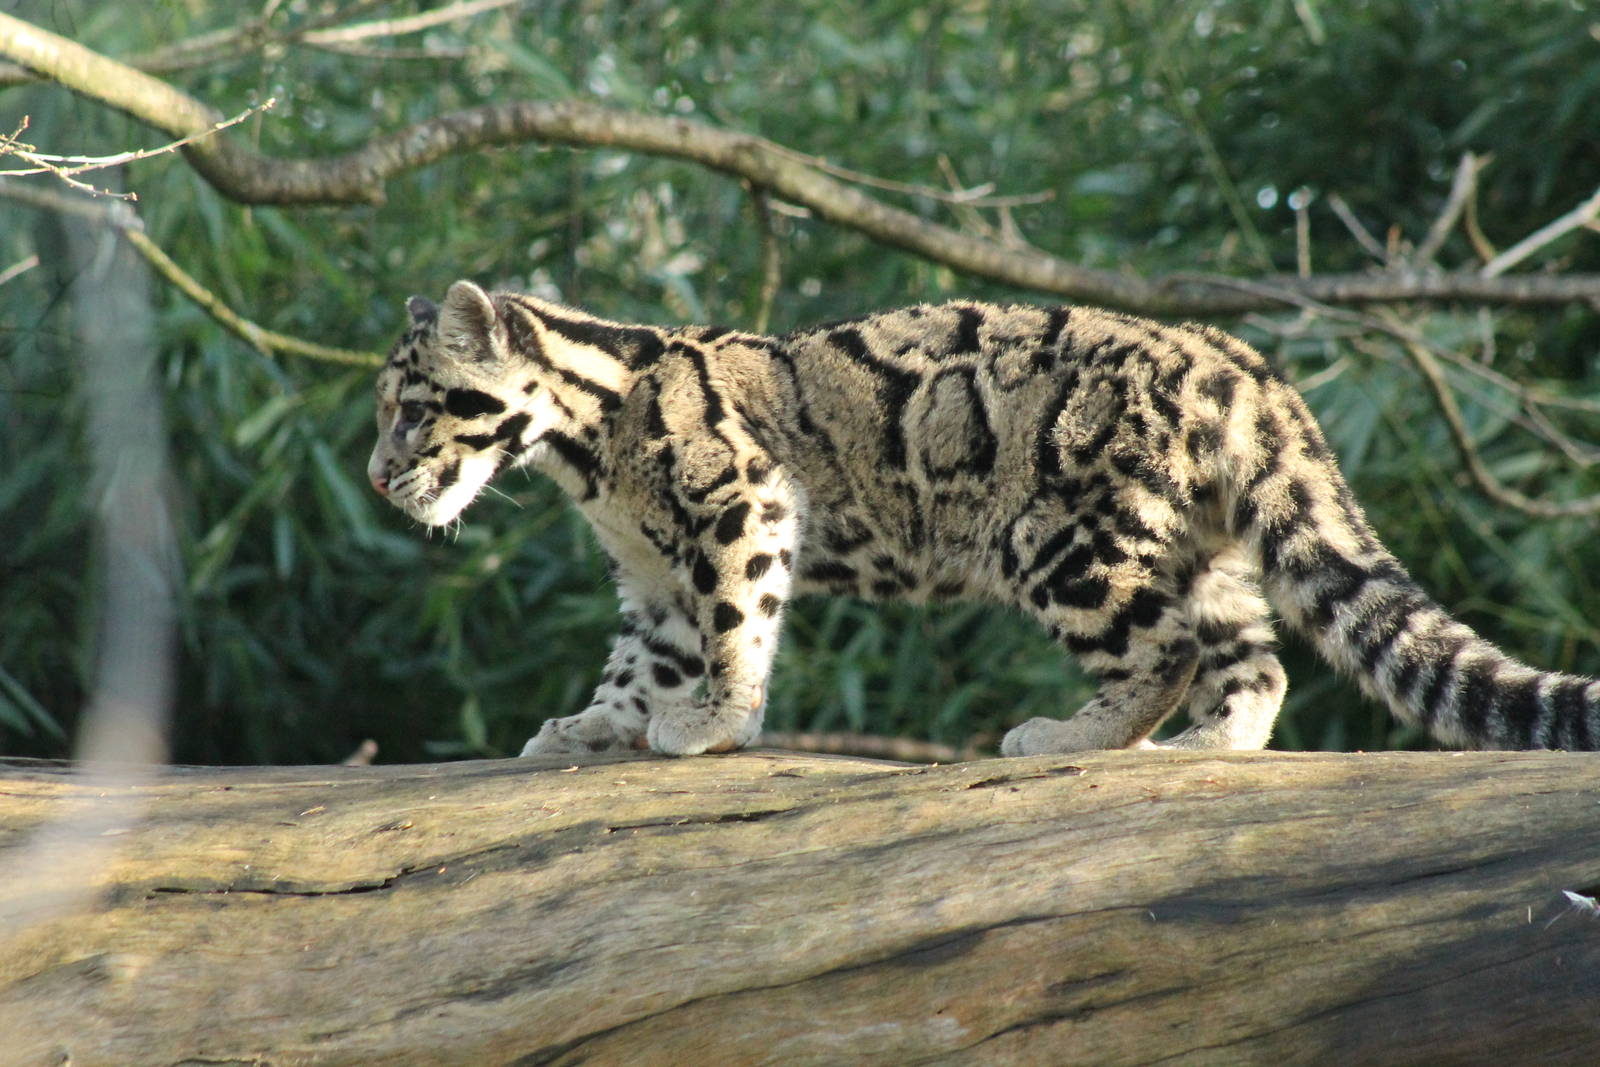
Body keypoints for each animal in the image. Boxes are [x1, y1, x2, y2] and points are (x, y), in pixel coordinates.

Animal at [366, 280, 1600, 756]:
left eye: (416, 407)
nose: (377, 479)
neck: (587, 460)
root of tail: (1237, 361)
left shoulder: (738, 507)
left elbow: (733, 629)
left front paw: (714, 721)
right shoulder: (655, 575)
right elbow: (642, 659)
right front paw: (593, 724)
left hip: (1063, 539)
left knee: (1164, 651)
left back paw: (1068, 735)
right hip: (1197, 547)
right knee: (1252, 658)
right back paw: (1210, 742)